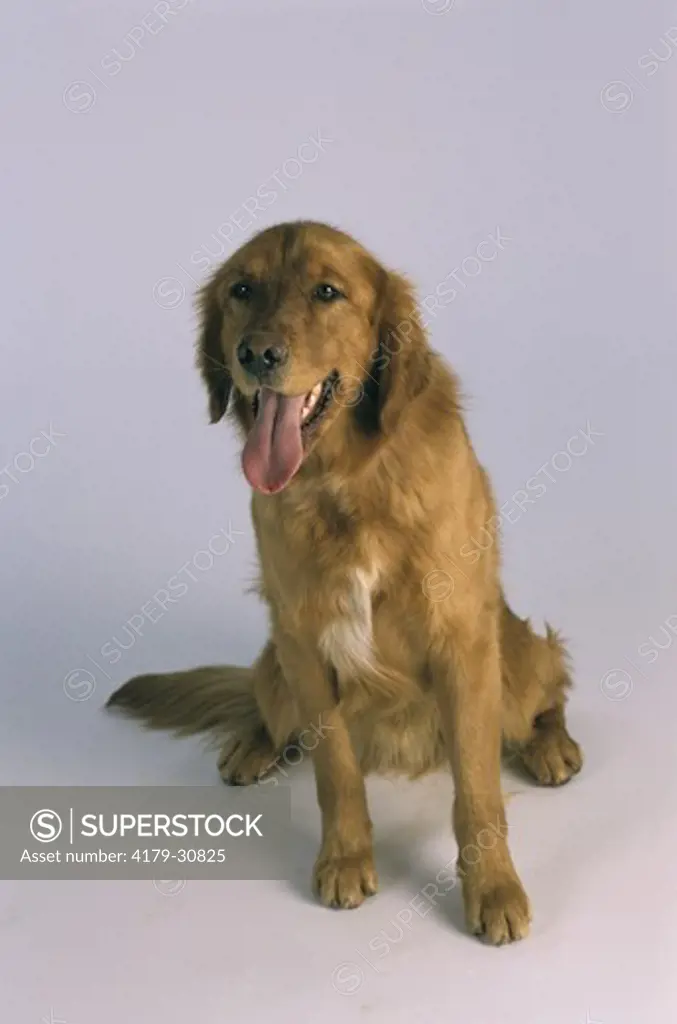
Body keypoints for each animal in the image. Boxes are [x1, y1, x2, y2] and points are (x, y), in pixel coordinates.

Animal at [108, 222, 581, 942]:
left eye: (327, 292)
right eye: (241, 290)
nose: (256, 354)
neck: (344, 480)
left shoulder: (463, 641)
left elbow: (477, 792)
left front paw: (494, 887)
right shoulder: (302, 641)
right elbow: (335, 770)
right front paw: (346, 859)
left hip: (515, 657)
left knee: (545, 689)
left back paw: (551, 744)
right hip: (273, 666)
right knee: (271, 714)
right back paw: (253, 745)